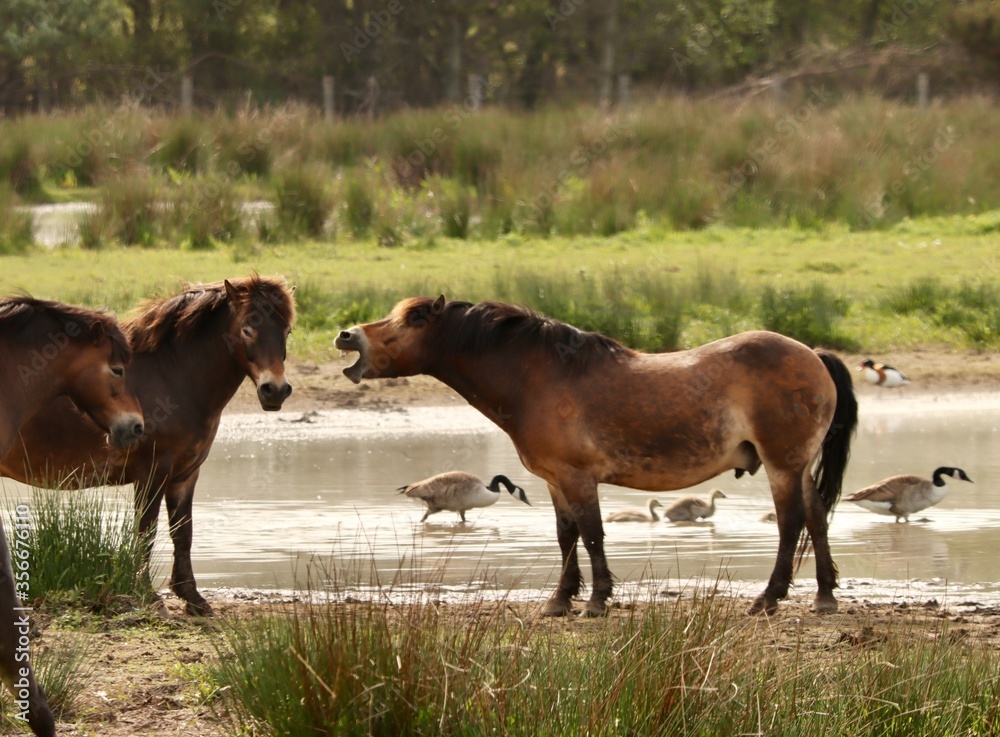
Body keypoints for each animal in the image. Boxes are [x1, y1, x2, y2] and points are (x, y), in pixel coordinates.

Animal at [1, 276, 295, 617]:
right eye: (247, 329)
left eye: (287, 331)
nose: (275, 390)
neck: (173, 375)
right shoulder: (152, 472)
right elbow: (146, 531)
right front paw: (146, 593)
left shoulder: (185, 475)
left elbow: (183, 532)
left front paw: (192, 597)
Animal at [335, 296, 858, 617]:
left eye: (413, 321)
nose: (346, 335)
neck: (539, 380)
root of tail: (812, 353)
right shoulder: (553, 480)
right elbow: (566, 537)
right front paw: (560, 601)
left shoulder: (578, 478)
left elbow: (591, 535)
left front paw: (597, 601)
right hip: (798, 465)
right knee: (816, 518)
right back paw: (824, 595)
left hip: (782, 464)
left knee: (792, 522)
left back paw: (768, 598)